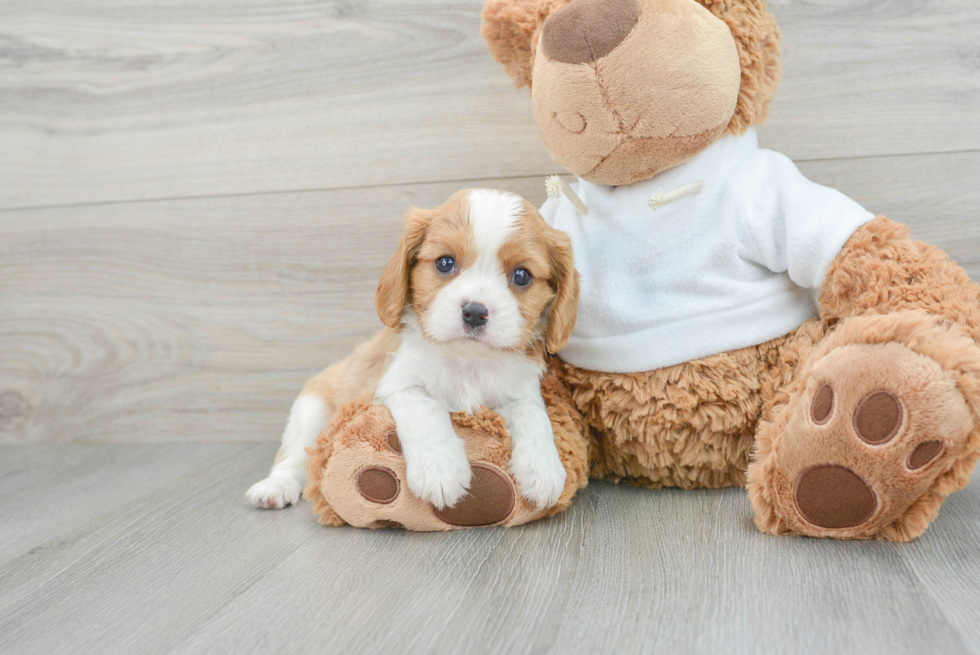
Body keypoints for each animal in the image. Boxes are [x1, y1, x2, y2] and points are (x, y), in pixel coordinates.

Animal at [249, 188, 580, 512]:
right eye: (445, 263)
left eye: (522, 275)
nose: (474, 312)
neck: (468, 361)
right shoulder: (393, 384)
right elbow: (425, 405)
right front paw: (440, 469)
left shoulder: (522, 389)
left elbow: (533, 413)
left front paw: (544, 468)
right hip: (312, 411)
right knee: (294, 458)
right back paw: (276, 487)